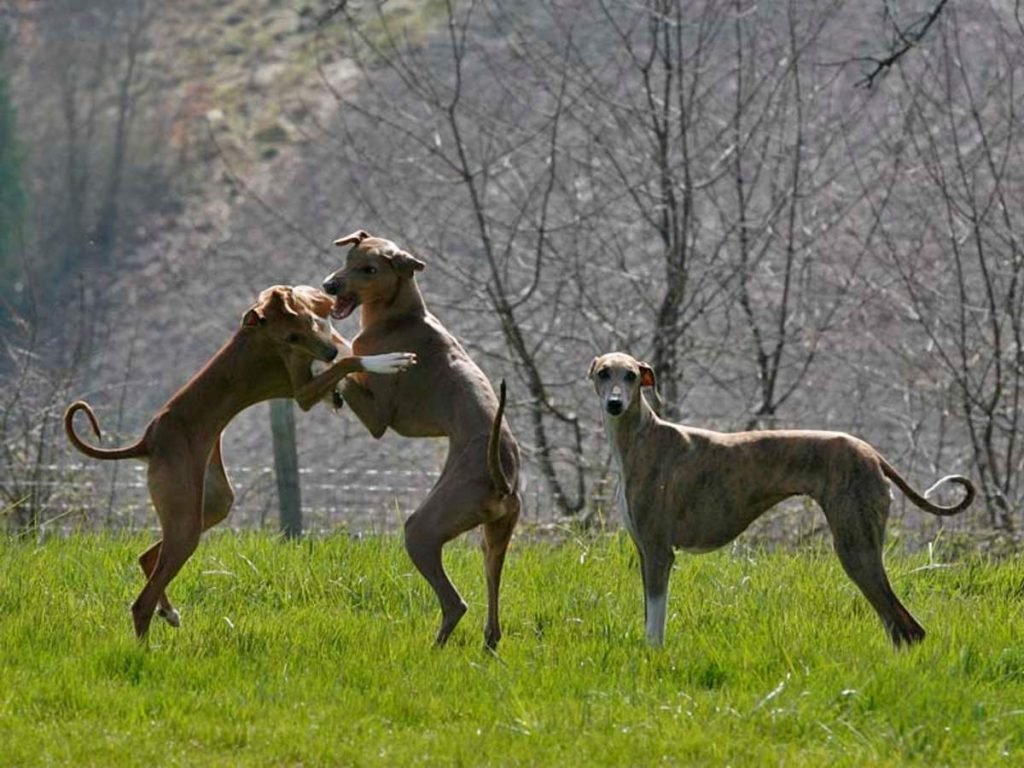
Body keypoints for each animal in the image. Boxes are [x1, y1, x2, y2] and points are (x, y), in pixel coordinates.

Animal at [66, 286, 415, 638]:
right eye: (289, 337)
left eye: (305, 324)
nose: (328, 353)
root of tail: (149, 440)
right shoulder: (302, 393)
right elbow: (349, 361)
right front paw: (386, 360)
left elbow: (341, 353)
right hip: (185, 519)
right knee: (142, 603)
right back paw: (146, 643)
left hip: (209, 505)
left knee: (148, 557)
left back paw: (170, 612)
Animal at [323, 230, 524, 651]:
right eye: (349, 259)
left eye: (369, 269)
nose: (329, 286)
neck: (400, 315)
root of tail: (503, 481)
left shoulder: (379, 417)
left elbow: (347, 359)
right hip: (493, 539)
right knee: (492, 606)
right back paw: (487, 645)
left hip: (423, 530)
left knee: (455, 603)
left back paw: (435, 648)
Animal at [589, 354, 970, 651]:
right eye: (604, 372)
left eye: (631, 375)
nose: (614, 404)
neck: (641, 437)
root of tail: (872, 454)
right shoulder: (644, 552)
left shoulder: (659, 553)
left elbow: (655, 628)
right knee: (899, 627)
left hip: (856, 548)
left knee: (907, 626)